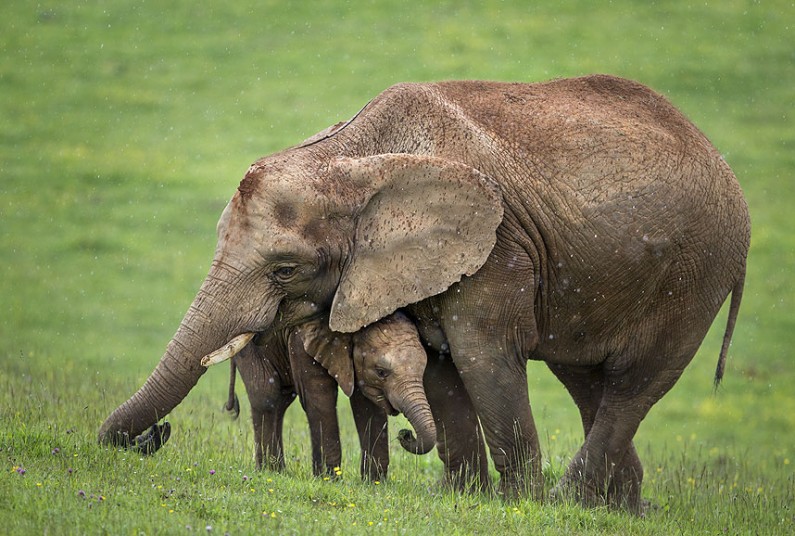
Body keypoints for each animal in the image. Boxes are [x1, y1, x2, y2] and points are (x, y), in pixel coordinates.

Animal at [96, 75, 748, 510]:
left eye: (284, 270)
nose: (152, 438)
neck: (354, 162)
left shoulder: (493, 248)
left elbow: (484, 357)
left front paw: (515, 507)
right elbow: (438, 366)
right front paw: (466, 500)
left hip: (696, 275)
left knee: (633, 385)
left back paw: (565, 503)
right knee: (588, 380)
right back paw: (615, 512)